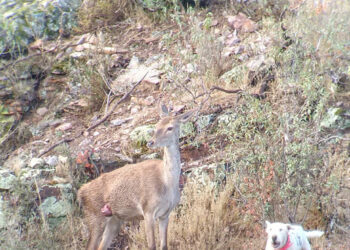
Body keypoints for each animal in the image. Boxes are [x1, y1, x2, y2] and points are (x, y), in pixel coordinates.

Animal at [77, 105, 197, 250]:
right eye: (156, 125)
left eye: (170, 127)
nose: (150, 142)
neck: (167, 183)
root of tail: (80, 193)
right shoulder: (148, 210)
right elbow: (152, 246)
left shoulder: (165, 214)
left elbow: (164, 245)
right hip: (94, 216)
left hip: (113, 220)